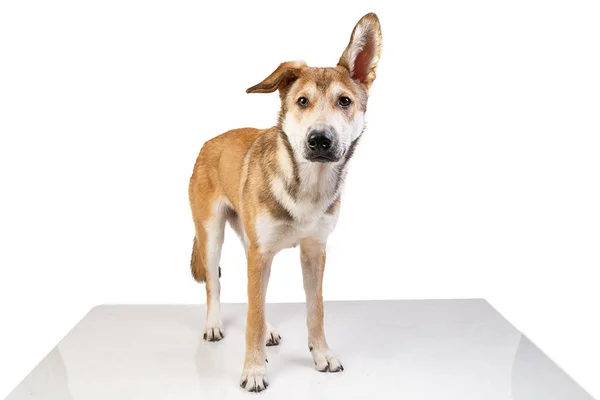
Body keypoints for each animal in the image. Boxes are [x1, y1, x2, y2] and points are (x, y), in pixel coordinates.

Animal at [189, 13, 384, 394]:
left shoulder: (314, 251)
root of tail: (209, 142)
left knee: (256, 298)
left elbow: (315, 309)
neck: (307, 185)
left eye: (344, 102)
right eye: (302, 101)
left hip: (248, 240)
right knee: (215, 285)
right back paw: (214, 324)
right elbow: (251, 315)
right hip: (213, 235)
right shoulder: (261, 253)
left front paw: (322, 354)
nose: (320, 140)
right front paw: (253, 371)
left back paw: (267, 331)